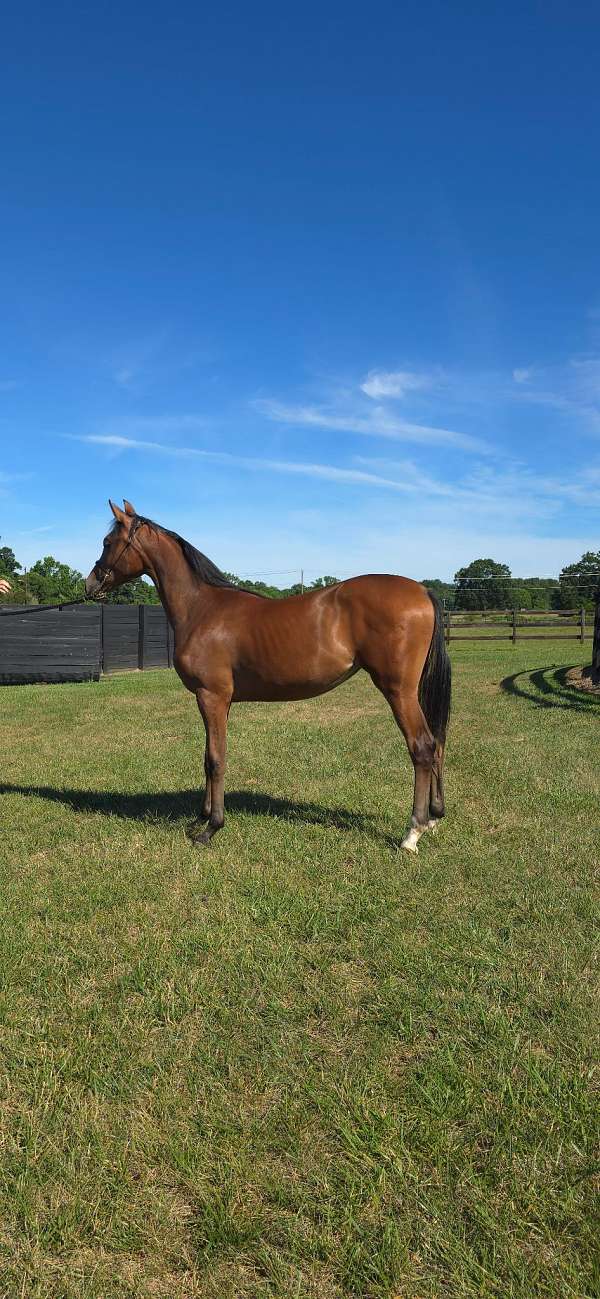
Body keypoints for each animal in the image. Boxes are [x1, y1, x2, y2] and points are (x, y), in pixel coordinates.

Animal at [86, 500, 451, 853]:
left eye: (107, 542)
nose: (89, 584)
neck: (202, 608)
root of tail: (422, 591)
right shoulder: (216, 702)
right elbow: (207, 757)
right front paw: (199, 819)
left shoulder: (211, 696)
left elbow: (216, 760)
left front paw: (211, 829)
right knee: (436, 745)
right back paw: (433, 818)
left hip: (398, 691)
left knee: (422, 747)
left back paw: (412, 833)